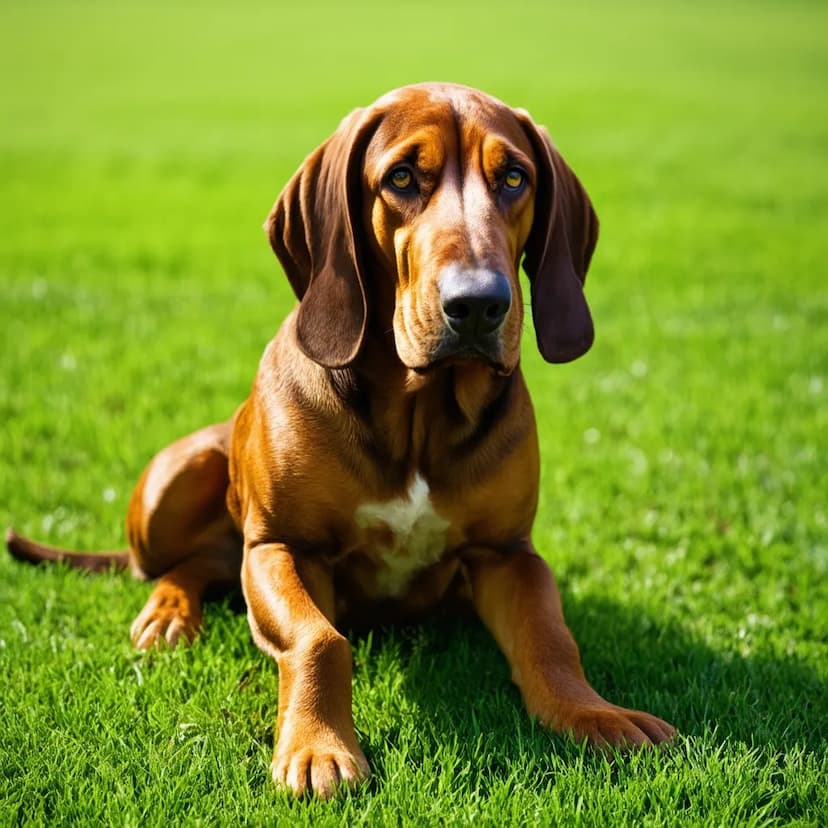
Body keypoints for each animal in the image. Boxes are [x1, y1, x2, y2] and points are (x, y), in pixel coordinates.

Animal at [6, 82, 676, 796]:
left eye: (515, 177)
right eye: (402, 177)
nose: (479, 303)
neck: (417, 413)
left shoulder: (508, 555)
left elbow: (552, 642)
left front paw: (594, 714)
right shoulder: (280, 545)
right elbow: (319, 640)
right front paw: (318, 747)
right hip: (178, 478)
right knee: (170, 565)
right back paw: (167, 613)